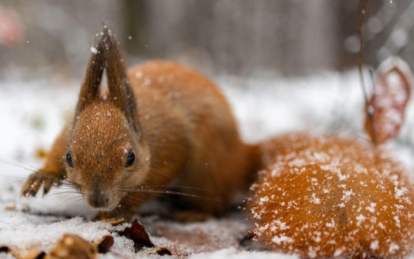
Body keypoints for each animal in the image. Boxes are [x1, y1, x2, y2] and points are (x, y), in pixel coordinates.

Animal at [21, 27, 258, 219]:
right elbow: (56, 148)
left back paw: (194, 213)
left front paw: (121, 208)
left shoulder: (171, 144)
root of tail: (243, 151)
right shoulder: (68, 128)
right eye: (69, 158)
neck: (142, 128)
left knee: (215, 203)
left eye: (131, 157)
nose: (98, 200)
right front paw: (43, 175)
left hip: (209, 167)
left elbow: (152, 182)